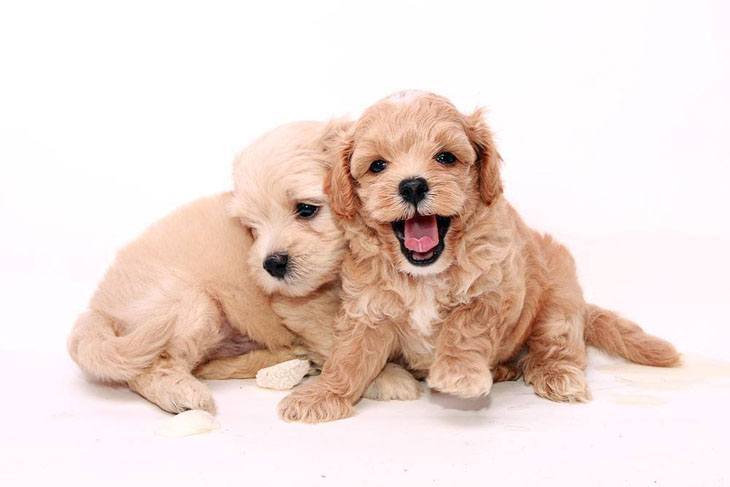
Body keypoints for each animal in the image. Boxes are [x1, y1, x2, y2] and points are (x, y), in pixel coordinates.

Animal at [278, 90, 676, 424]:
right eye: (377, 166)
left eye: (445, 157)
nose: (412, 185)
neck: (424, 275)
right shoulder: (368, 308)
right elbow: (347, 357)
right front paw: (321, 395)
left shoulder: (492, 288)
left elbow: (464, 329)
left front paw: (458, 373)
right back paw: (503, 369)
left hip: (558, 300)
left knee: (558, 345)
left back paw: (557, 375)